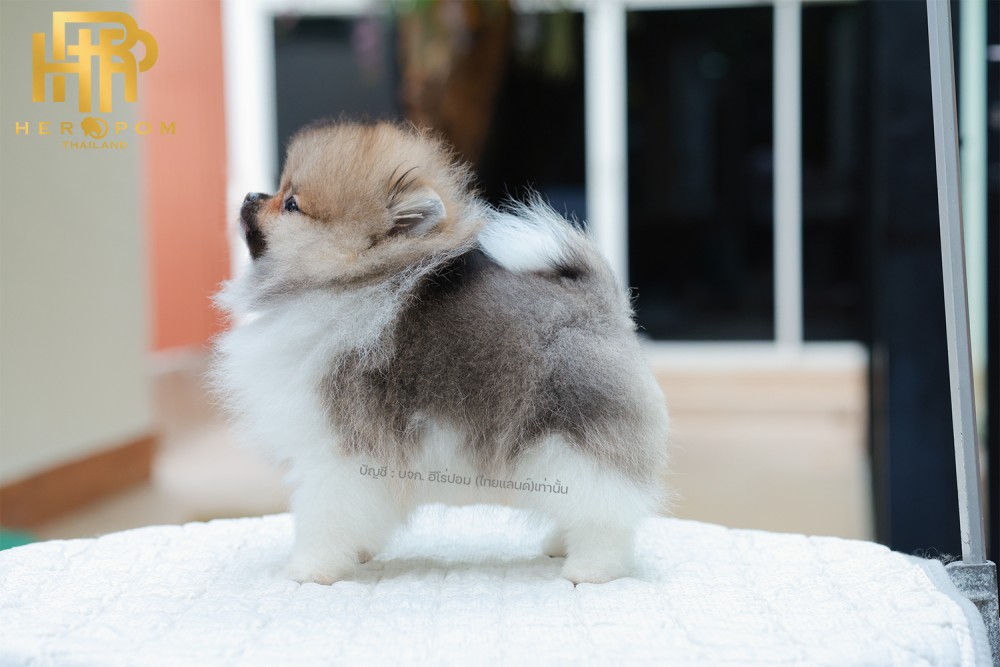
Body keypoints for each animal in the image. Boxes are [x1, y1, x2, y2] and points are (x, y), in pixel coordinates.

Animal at [212, 120, 669, 585]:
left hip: (571, 439)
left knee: (606, 510)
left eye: (290, 203)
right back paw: (559, 545)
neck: (347, 284)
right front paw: (358, 553)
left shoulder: (338, 448)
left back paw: (591, 568)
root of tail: (600, 305)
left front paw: (309, 569)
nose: (249, 195)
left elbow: (324, 514)